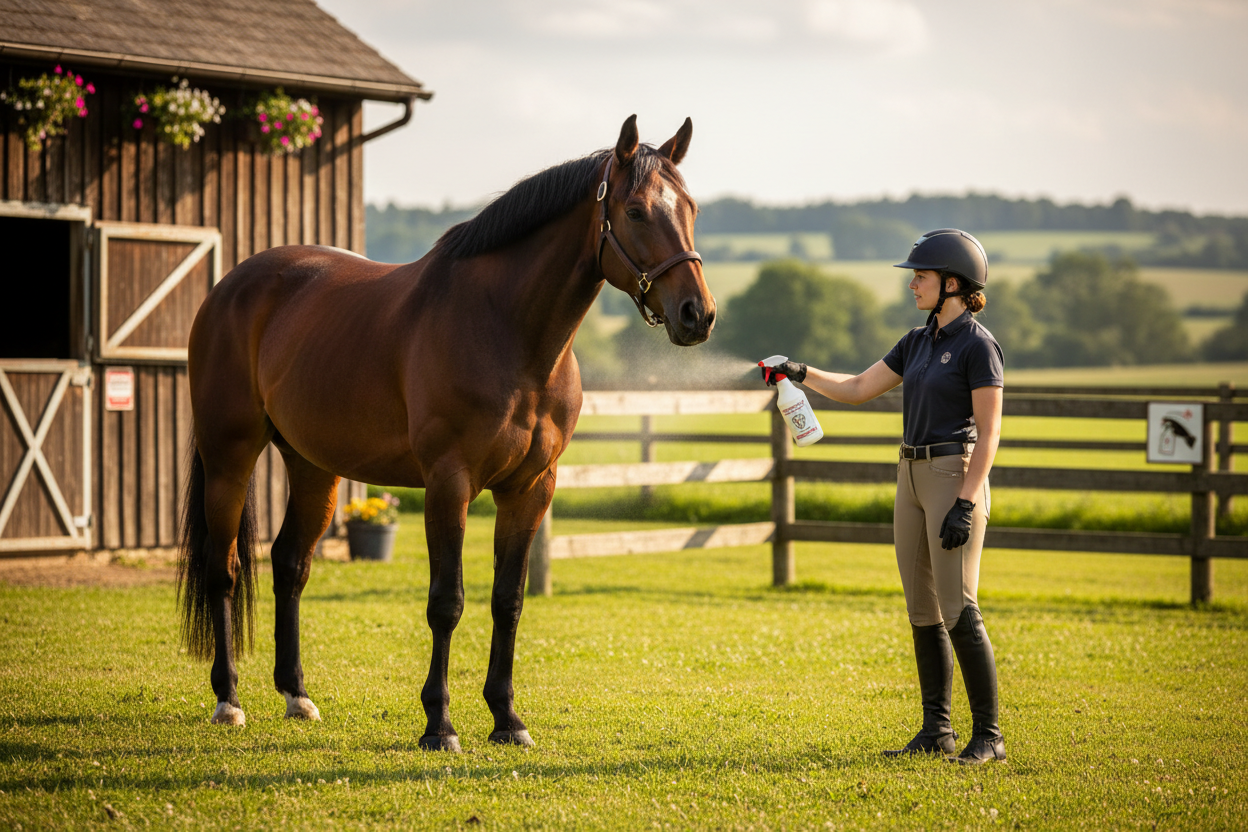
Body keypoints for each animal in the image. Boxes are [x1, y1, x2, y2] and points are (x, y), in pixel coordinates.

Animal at [177, 116, 715, 751]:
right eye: (635, 211)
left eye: (691, 208)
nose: (698, 314)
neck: (507, 331)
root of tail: (229, 288)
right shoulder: (448, 484)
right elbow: (447, 603)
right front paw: (439, 724)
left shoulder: (530, 488)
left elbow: (508, 602)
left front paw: (507, 718)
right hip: (229, 457)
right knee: (223, 570)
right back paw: (228, 700)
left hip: (313, 466)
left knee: (290, 564)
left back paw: (297, 695)